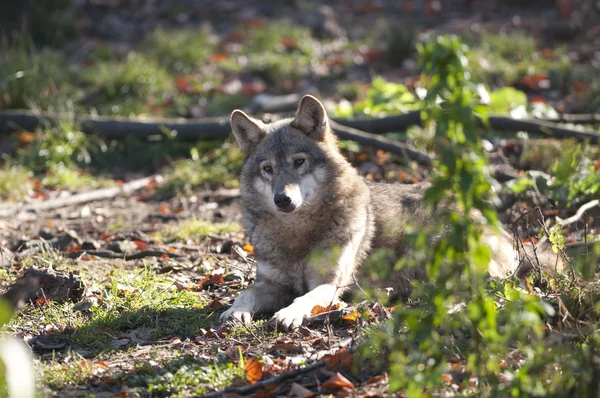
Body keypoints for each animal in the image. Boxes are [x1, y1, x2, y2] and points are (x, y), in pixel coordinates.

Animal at [220, 95, 564, 332]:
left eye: (299, 162)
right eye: (268, 169)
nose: (283, 199)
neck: (297, 234)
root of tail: (504, 233)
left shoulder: (331, 284)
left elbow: (304, 298)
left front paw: (288, 313)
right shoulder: (270, 284)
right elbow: (245, 294)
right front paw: (234, 312)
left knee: (483, 288)